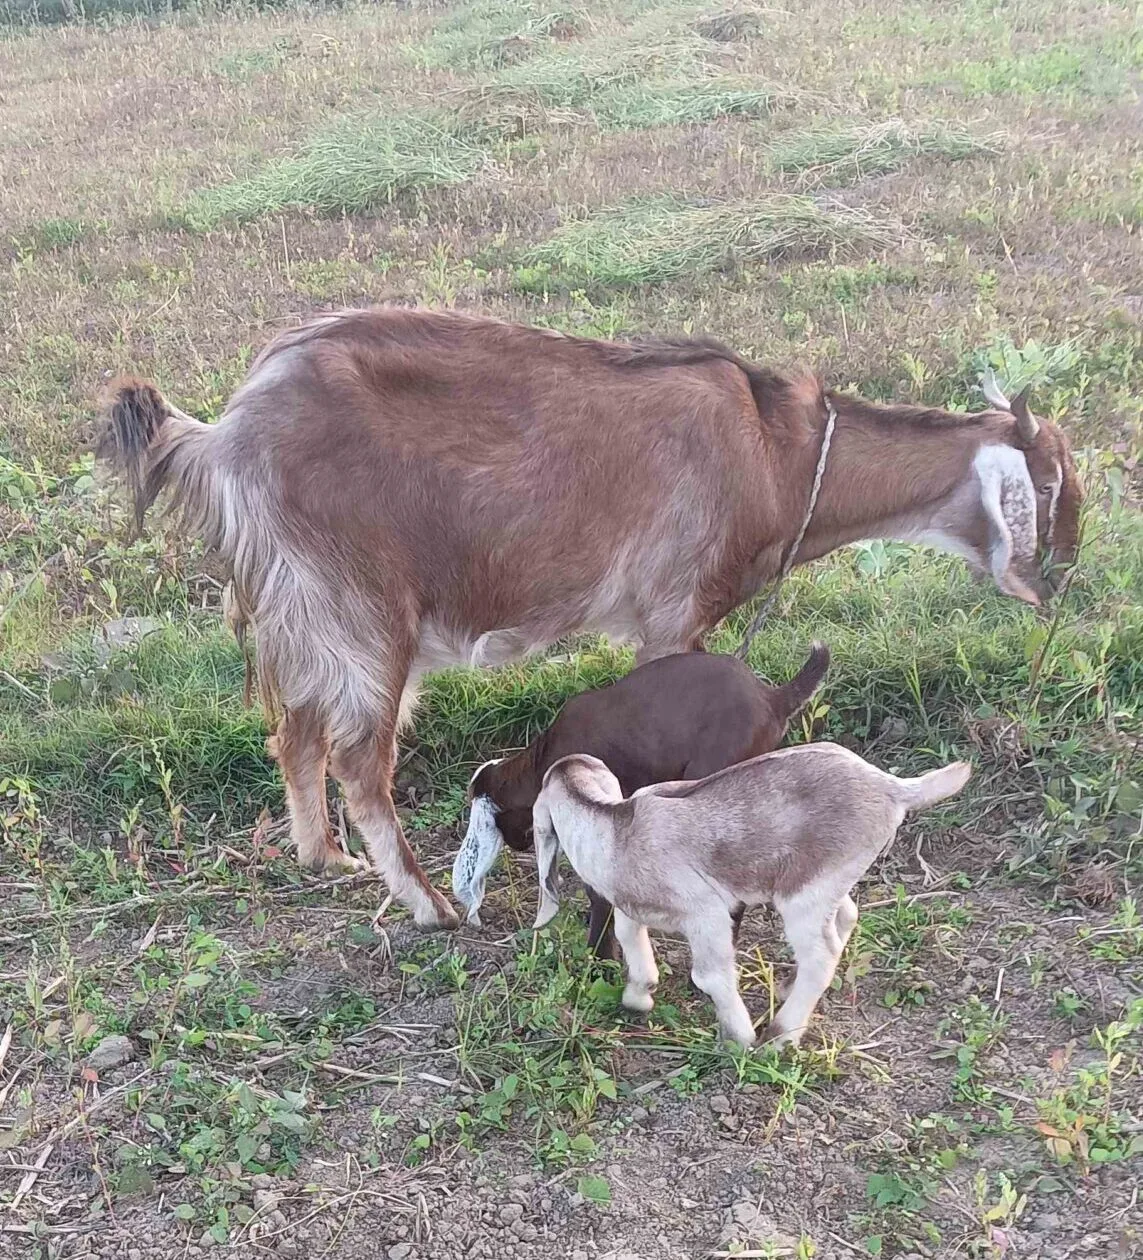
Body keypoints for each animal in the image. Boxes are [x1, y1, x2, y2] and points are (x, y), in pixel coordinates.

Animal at [532, 746, 972, 1047]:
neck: (612, 828)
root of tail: (892, 786)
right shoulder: (631, 904)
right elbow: (629, 938)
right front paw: (638, 997)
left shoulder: (705, 912)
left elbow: (710, 974)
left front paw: (739, 1039)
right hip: (828, 879)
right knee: (846, 916)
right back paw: (788, 991)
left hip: (804, 895)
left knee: (822, 955)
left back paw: (779, 1036)